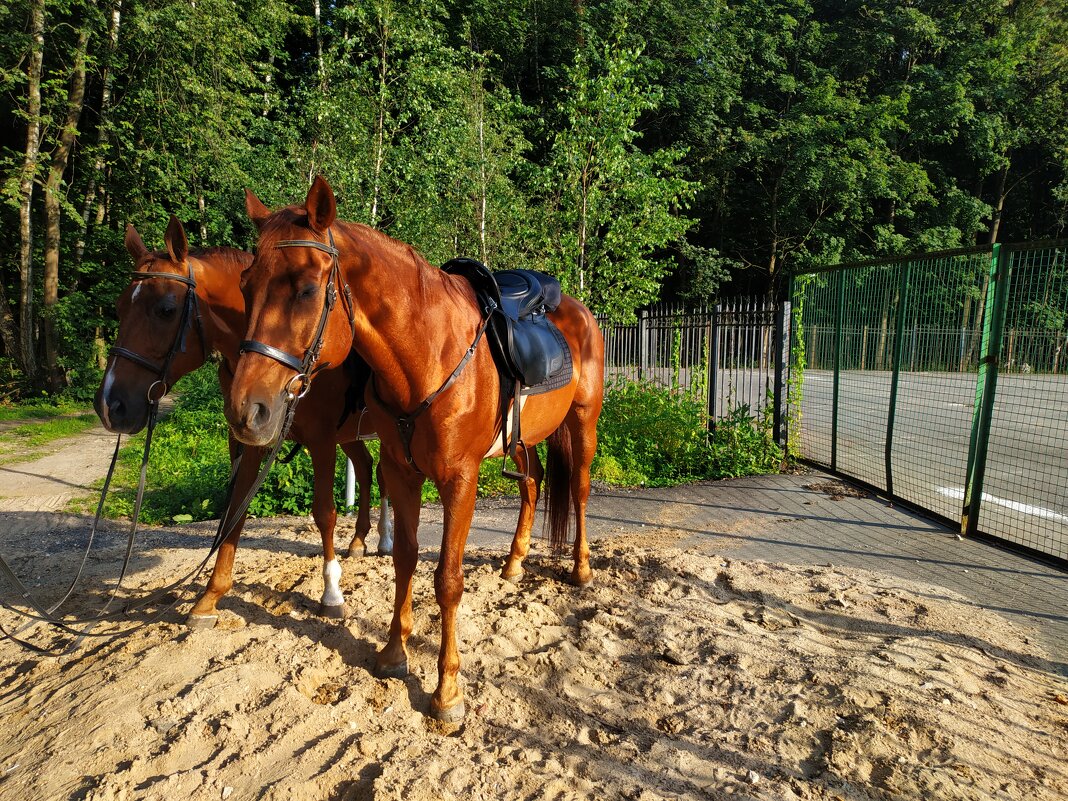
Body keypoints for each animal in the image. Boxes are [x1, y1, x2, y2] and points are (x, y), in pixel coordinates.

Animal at [95, 217, 393, 627]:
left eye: (166, 309)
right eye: (120, 306)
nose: (110, 404)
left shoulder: (320, 441)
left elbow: (324, 513)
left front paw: (331, 594)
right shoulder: (248, 438)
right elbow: (233, 511)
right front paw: (209, 597)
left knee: (382, 476)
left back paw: (384, 539)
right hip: (349, 436)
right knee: (365, 469)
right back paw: (360, 541)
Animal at [227, 178, 602, 726]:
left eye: (307, 290)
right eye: (246, 285)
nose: (245, 410)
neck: (426, 354)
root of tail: (577, 310)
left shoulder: (459, 479)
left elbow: (447, 579)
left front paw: (447, 691)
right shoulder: (400, 470)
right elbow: (404, 558)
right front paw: (392, 652)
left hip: (583, 423)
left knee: (578, 490)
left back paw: (580, 568)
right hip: (522, 439)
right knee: (532, 483)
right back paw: (515, 562)